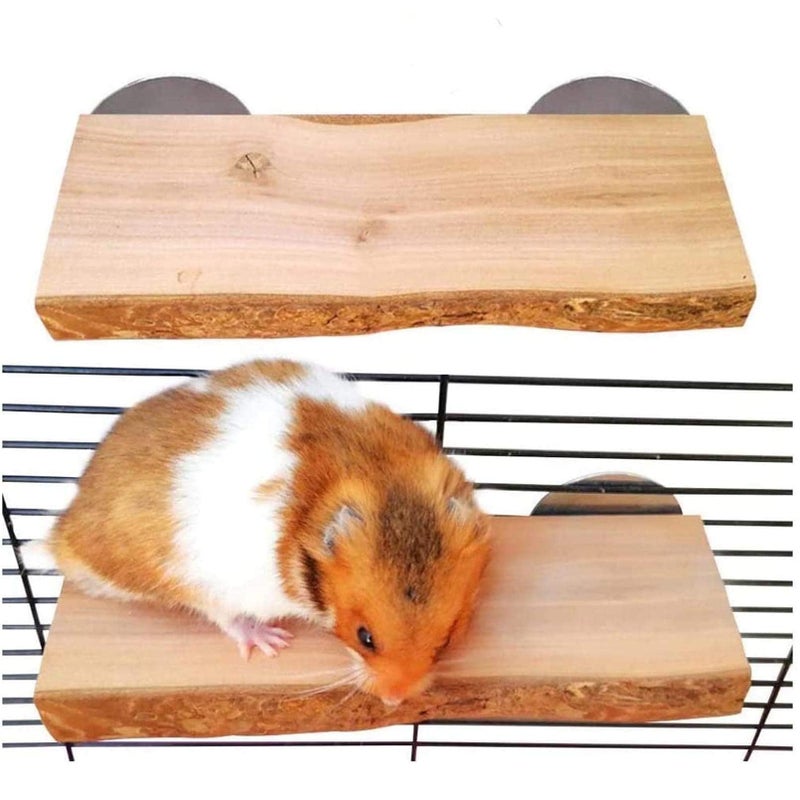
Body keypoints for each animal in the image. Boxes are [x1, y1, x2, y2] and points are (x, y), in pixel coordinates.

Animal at [37, 359, 490, 706]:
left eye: (447, 640)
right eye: (365, 638)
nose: (395, 700)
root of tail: (65, 533)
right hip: (196, 580)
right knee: (226, 618)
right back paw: (270, 639)